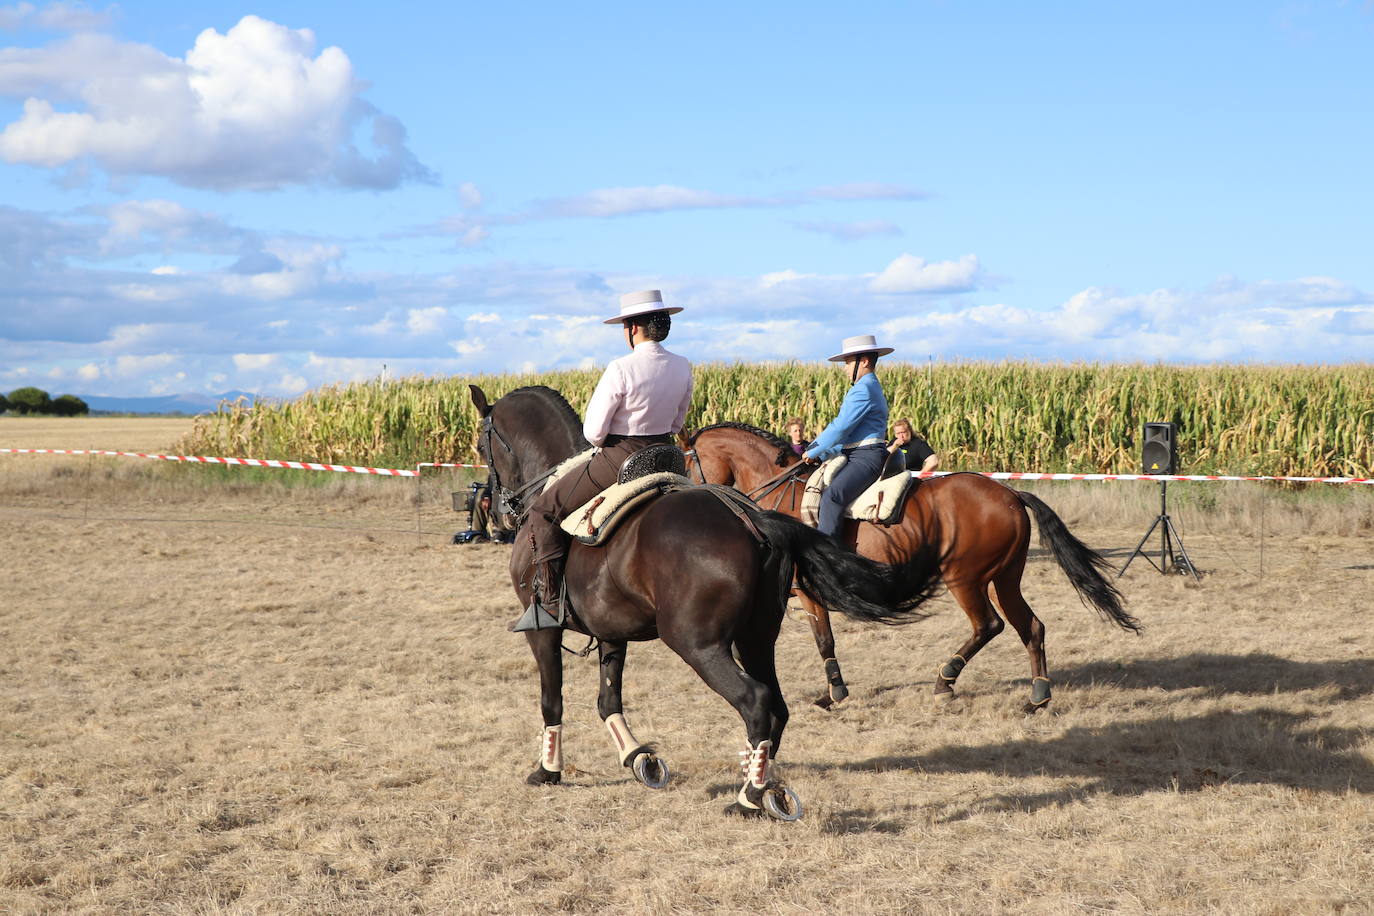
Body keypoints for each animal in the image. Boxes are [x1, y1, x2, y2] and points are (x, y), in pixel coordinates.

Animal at [472, 384, 945, 818]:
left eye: (481, 444)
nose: (497, 514)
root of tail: (753, 519)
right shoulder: (611, 631)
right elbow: (609, 699)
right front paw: (638, 758)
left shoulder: (542, 630)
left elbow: (552, 698)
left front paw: (548, 770)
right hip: (756, 639)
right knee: (777, 707)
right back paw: (765, 784)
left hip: (698, 645)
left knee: (755, 701)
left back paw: (748, 798)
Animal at [681, 425, 1143, 714]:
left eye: (688, 461)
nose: (684, 492)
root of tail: (1010, 494)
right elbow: (823, 639)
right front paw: (834, 692)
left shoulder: (807, 592)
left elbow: (823, 640)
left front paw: (834, 694)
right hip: (1004, 579)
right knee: (1030, 626)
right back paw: (1037, 697)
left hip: (965, 579)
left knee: (989, 625)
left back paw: (945, 681)